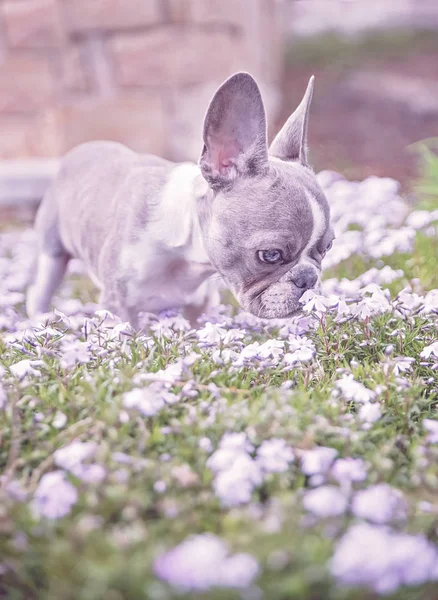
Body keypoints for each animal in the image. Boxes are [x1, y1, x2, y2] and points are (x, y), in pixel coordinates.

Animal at [27, 72, 334, 330]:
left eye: (328, 247)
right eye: (270, 255)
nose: (308, 278)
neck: (186, 256)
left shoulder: (200, 305)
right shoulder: (118, 305)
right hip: (52, 252)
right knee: (39, 290)